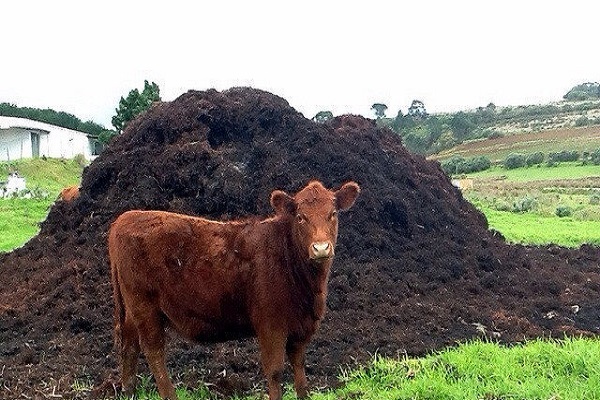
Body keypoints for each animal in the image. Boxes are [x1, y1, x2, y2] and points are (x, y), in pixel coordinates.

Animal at [109, 180, 360, 400]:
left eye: (333, 214)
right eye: (300, 217)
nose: (321, 248)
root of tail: (125, 218)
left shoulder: (301, 328)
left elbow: (300, 371)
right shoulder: (271, 325)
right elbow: (275, 371)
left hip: (132, 310)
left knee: (129, 345)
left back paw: (129, 392)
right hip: (144, 306)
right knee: (153, 350)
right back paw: (168, 395)